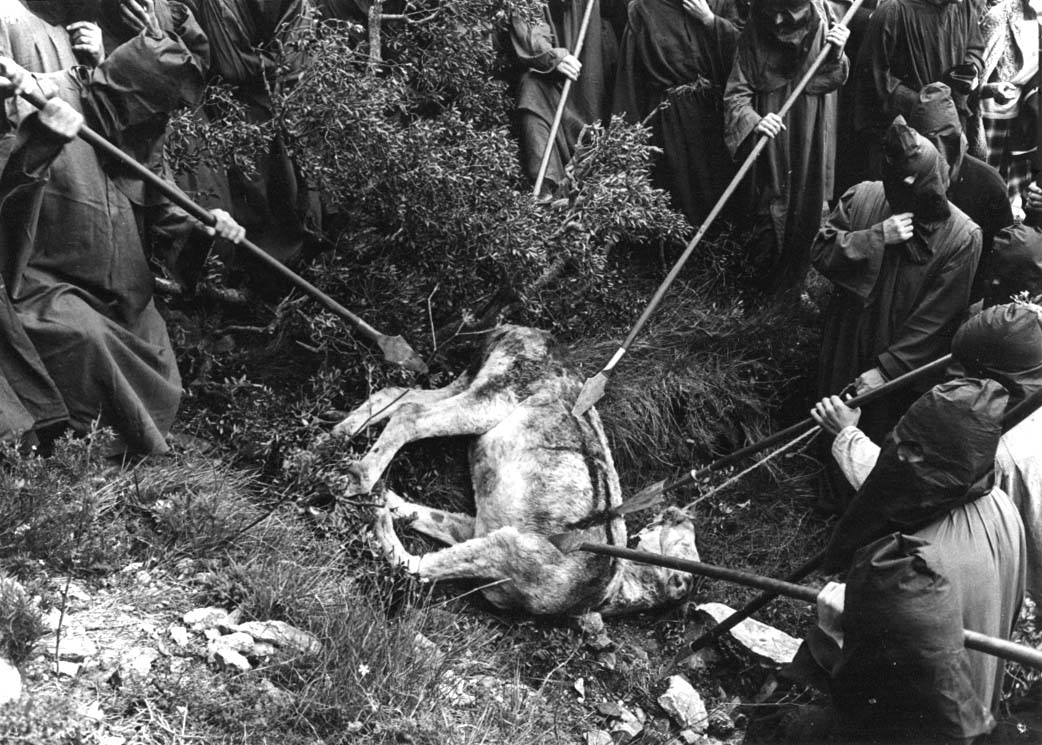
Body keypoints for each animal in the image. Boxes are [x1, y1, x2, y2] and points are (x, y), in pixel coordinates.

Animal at [332, 324, 699, 616]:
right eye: (682, 542)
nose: (676, 512)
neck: (604, 592)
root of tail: (522, 330)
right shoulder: (507, 549)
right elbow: (416, 565)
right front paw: (378, 504)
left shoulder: (477, 528)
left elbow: (425, 516)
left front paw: (387, 500)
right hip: (494, 399)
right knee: (411, 414)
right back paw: (359, 477)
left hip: (471, 382)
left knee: (397, 394)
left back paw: (337, 439)